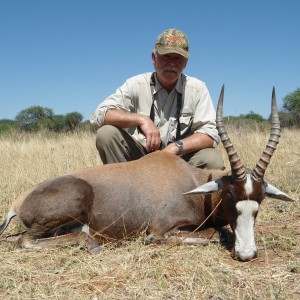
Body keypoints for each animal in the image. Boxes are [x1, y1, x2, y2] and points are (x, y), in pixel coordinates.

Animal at [0, 86, 296, 260]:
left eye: (259, 202)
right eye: (230, 196)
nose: (247, 254)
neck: (190, 182)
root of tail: (19, 202)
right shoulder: (162, 228)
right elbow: (217, 232)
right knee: (24, 241)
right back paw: (93, 244)